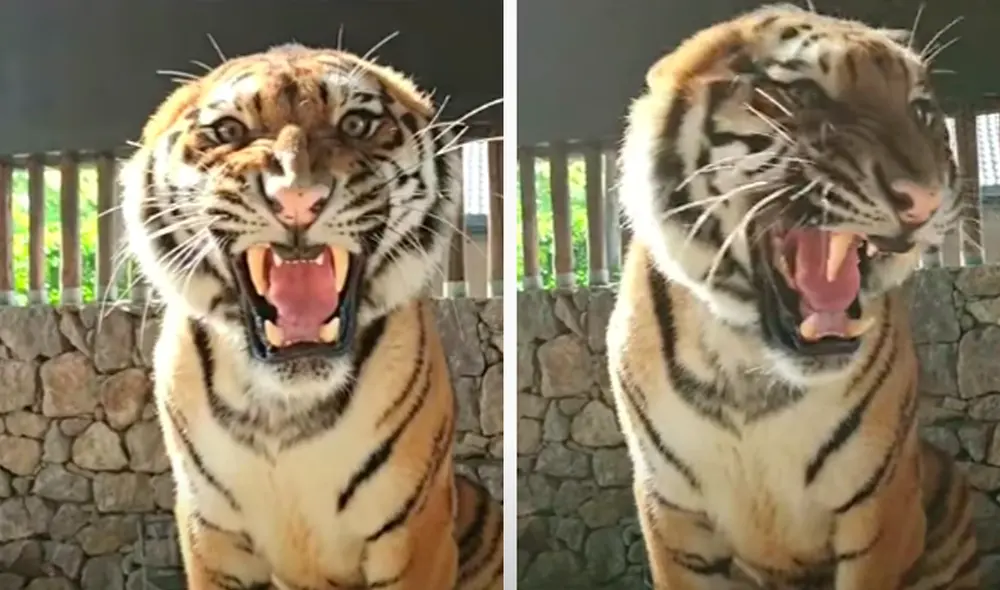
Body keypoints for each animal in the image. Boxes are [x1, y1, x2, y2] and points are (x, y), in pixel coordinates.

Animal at [119, 43, 503, 590]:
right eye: (229, 131)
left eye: (357, 123)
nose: (296, 198)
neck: (285, 409)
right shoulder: (210, 534)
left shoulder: (414, 531)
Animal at [606, 4, 978, 589]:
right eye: (803, 93)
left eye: (921, 110)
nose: (925, 199)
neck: (751, 370)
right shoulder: (673, 515)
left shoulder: (877, 507)